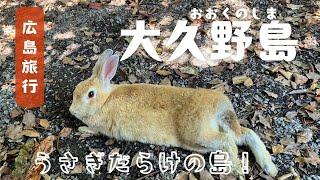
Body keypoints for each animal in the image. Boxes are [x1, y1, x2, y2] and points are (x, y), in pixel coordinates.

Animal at [69, 48, 278, 179]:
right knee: (245, 135)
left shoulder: (104, 127)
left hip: (197, 133)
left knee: (228, 141)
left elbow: (94, 130)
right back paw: (270, 168)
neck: (105, 100)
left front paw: (82, 129)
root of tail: (218, 107)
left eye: (90, 94)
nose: (72, 110)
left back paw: (237, 171)